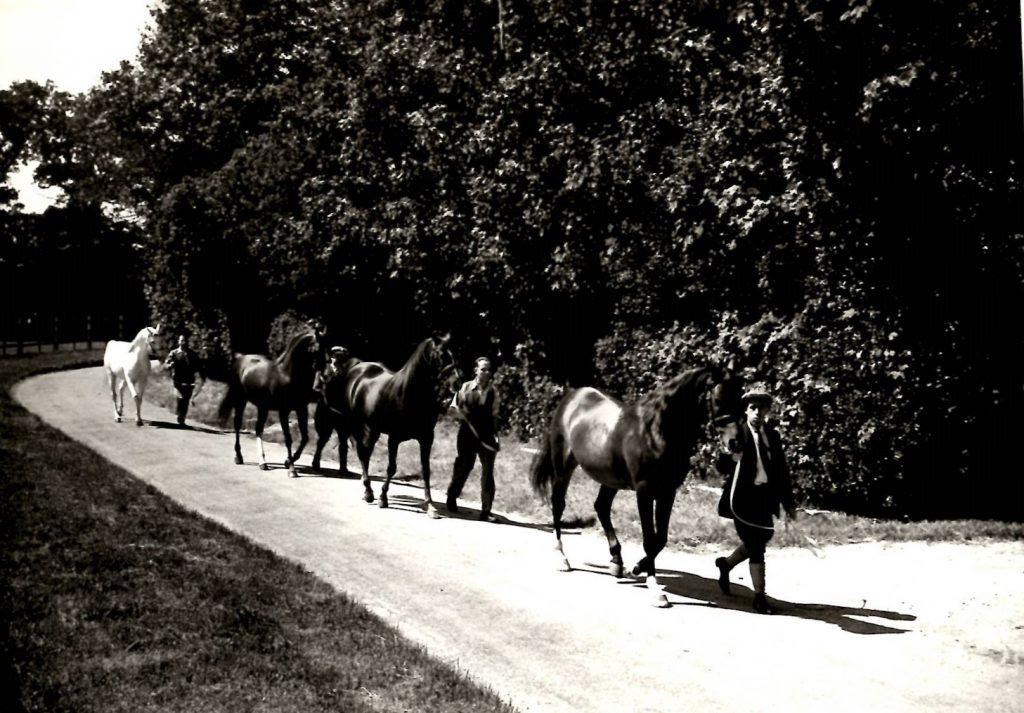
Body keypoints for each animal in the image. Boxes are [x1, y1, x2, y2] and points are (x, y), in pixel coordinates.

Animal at [219, 329, 323, 475]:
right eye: (318, 348)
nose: (321, 382)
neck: (287, 375)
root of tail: (241, 358)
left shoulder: (301, 408)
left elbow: (305, 437)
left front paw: (288, 461)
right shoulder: (284, 411)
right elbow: (288, 439)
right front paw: (292, 469)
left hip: (262, 407)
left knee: (258, 429)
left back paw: (262, 462)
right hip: (241, 400)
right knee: (238, 425)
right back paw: (240, 457)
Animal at [319, 333, 460, 518]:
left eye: (452, 355)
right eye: (441, 356)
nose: (457, 382)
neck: (410, 395)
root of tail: (357, 367)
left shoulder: (426, 439)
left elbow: (426, 471)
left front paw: (430, 506)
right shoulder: (394, 438)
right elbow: (391, 468)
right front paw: (383, 498)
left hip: (373, 428)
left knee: (366, 453)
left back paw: (366, 489)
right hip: (357, 425)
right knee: (362, 453)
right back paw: (368, 492)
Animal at [532, 366, 741, 606]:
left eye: (741, 397)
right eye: (719, 397)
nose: (736, 442)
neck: (655, 431)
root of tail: (573, 396)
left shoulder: (667, 492)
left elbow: (661, 539)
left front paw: (637, 568)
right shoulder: (645, 491)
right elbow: (650, 540)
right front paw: (655, 590)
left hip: (609, 478)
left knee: (601, 507)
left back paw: (616, 561)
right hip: (564, 466)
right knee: (558, 503)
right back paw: (562, 557)